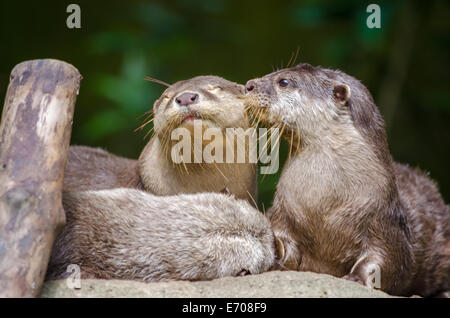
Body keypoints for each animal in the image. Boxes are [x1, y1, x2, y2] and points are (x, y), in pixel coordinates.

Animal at [246, 63, 450, 296]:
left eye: (284, 81)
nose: (248, 85)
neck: (322, 206)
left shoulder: (383, 219)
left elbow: (389, 259)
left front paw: (356, 277)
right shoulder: (284, 211)